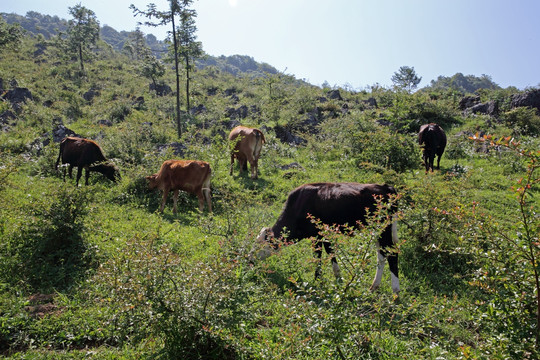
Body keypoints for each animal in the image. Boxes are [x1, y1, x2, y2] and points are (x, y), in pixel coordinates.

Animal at [253, 183, 400, 292]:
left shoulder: (316, 235)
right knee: (381, 255)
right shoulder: (325, 234)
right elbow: (331, 253)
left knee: (392, 254)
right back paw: (374, 286)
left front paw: (318, 281)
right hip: (377, 232)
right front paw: (338, 278)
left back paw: (395, 292)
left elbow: (317, 257)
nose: (249, 259)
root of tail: (387, 187)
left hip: (384, 230)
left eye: (258, 245)